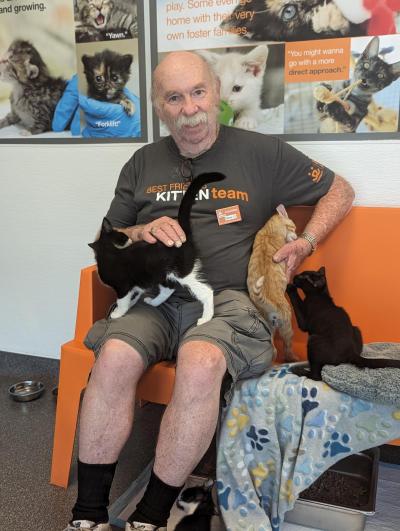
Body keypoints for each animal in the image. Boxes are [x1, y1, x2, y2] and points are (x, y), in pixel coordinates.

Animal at [89, 175, 225, 324]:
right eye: (124, 235)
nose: (129, 239)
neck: (109, 251)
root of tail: (184, 235)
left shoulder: (123, 286)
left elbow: (122, 301)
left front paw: (117, 313)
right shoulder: (138, 283)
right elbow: (134, 294)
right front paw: (131, 304)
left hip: (182, 272)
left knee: (206, 291)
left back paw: (205, 318)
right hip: (162, 274)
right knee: (168, 289)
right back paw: (153, 302)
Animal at [248, 206, 298, 364]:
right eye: (294, 227)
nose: (297, 237)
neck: (269, 231)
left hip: (268, 327)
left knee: (273, 351)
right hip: (287, 325)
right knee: (287, 348)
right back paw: (293, 358)